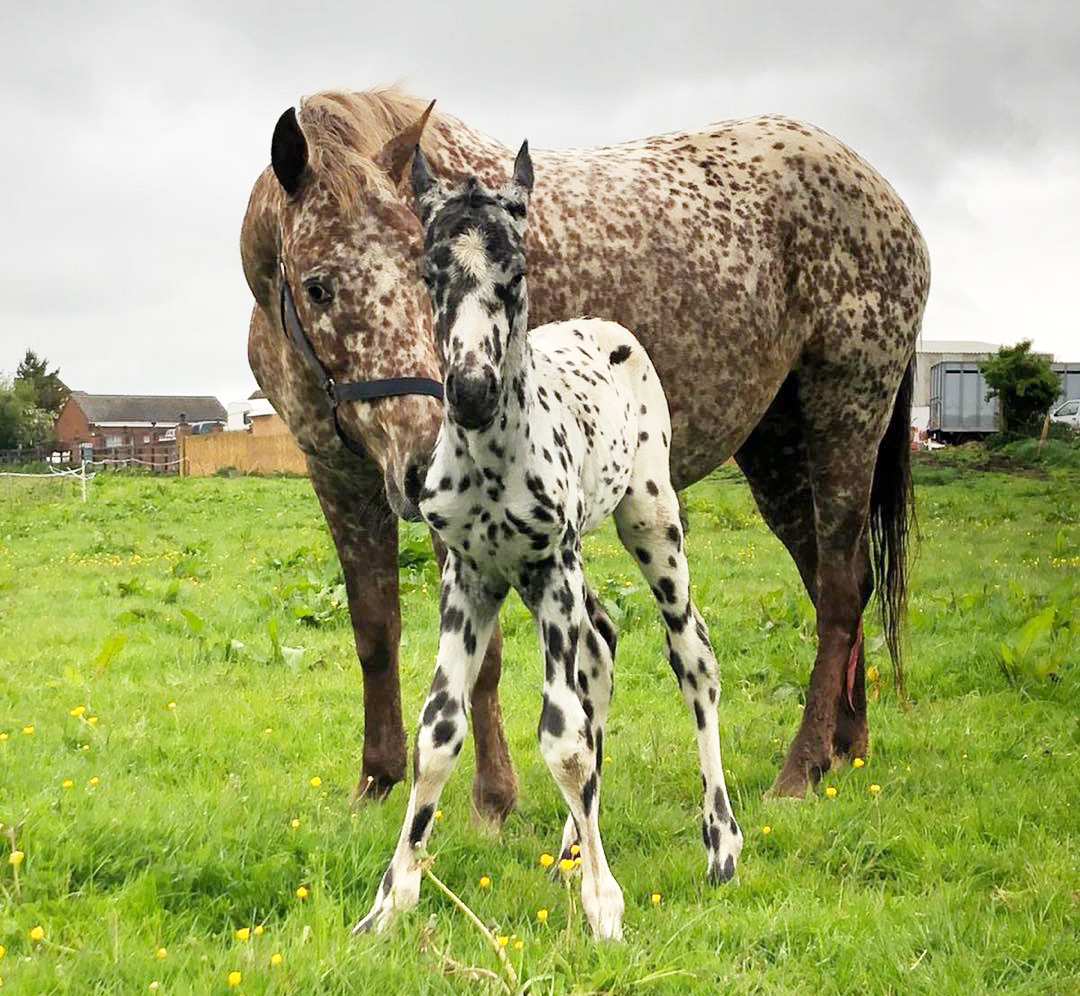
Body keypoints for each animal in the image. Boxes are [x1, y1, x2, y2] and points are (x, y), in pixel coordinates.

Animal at [238, 89, 928, 812]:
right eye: (317, 286)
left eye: (416, 272)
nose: (429, 456)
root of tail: (882, 193)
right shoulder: (338, 475)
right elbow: (374, 630)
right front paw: (376, 781)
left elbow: (482, 660)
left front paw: (492, 798)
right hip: (778, 452)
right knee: (839, 585)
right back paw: (845, 747)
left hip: (845, 420)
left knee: (840, 595)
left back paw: (801, 767)